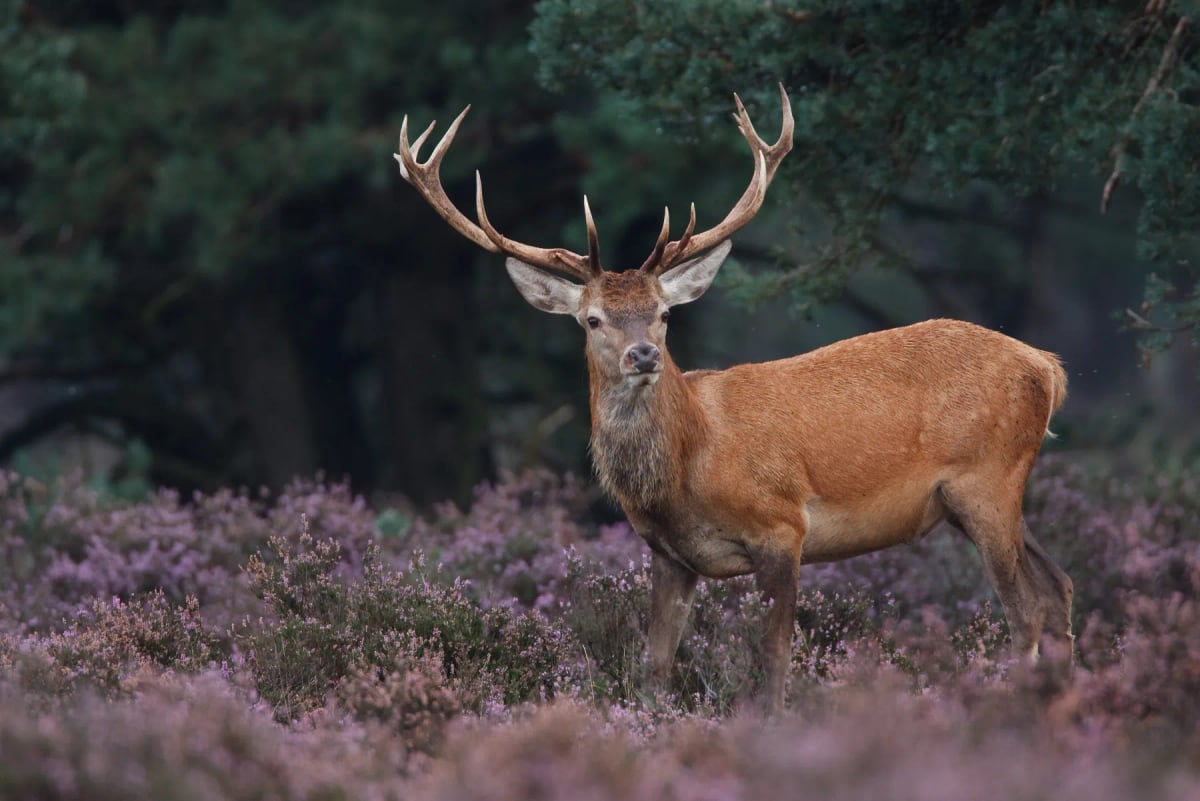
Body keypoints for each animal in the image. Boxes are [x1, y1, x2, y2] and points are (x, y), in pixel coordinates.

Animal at [394, 85, 1075, 714]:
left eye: (664, 313)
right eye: (592, 319)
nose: (644, 355)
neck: (689, 464)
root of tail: (1047, 366)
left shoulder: (781, 526)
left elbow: (773, 655)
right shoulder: (669, 555)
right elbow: (655, 664)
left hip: (986, 479)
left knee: (1025, 611)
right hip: (985, 494)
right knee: (1059, 587)